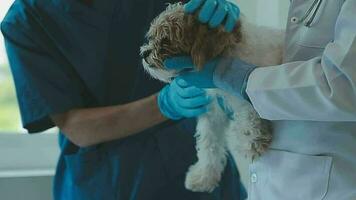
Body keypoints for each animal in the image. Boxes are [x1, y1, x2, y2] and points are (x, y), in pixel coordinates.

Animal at [140, 1, 282, 192]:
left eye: (165, 39)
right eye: (153, 37)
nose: (144, 53)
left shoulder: (246, 89)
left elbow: (248, 111)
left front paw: (251, 141)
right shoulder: (212, 111)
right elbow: (209, 144)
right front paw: (203, 176)